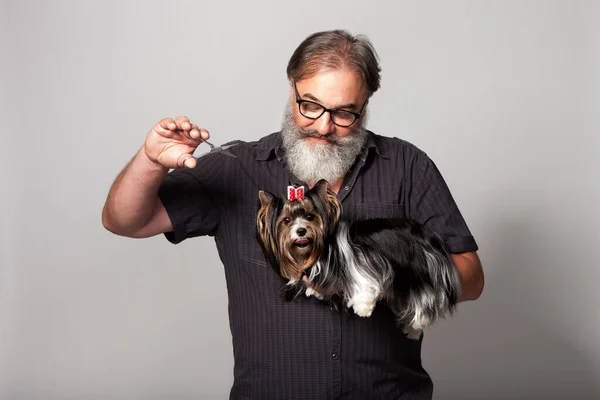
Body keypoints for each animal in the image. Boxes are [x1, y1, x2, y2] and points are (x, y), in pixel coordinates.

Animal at [255, 180, 462, 340]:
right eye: (286, 220)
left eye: (309, 216)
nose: (301, 231)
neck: (324, 249)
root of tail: (430, 237)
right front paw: (315, 289)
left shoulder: (362, 258)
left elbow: (363, 282)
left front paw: (363, 307)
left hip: (418, 269)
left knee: (425, 297)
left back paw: (418, 321)